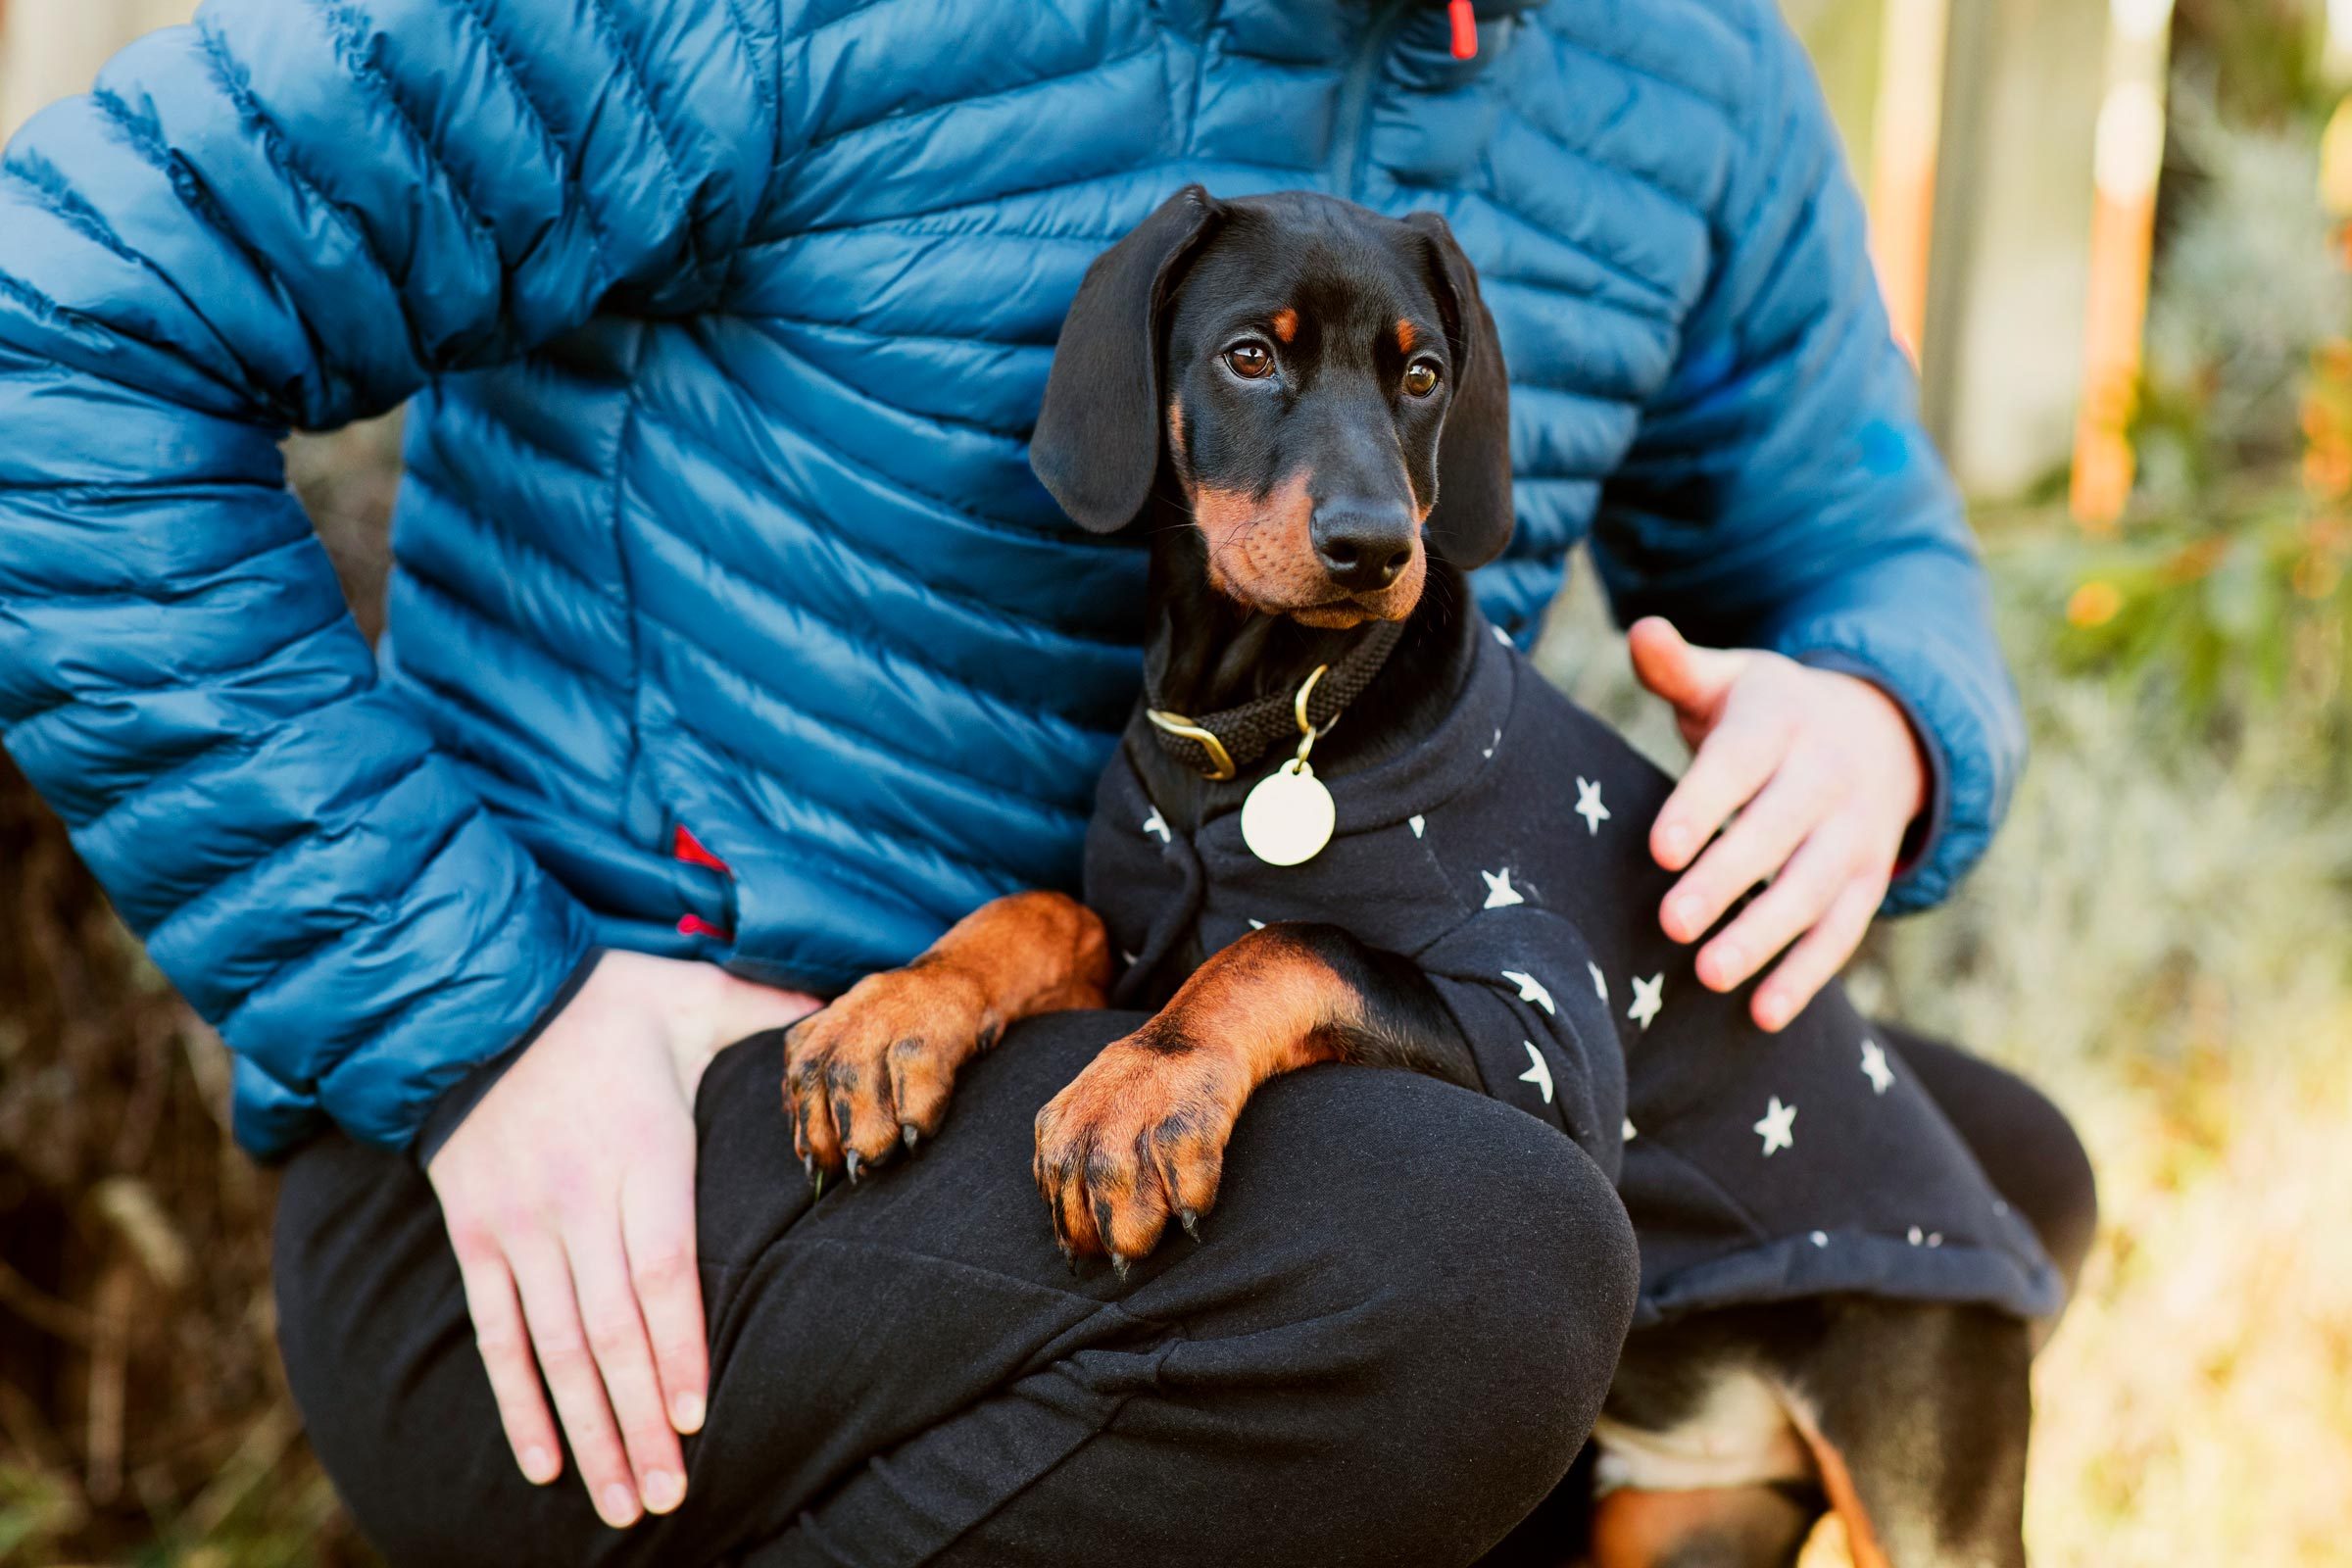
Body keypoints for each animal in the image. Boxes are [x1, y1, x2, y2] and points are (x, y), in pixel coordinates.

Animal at [785, 186, 2060, 1568]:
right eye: (1250, 355)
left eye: (1423, 374)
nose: (1372, 546)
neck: (1267, 718)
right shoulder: (1140, 933)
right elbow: (1043, 909)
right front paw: (887, 1021)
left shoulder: (1543, 1043)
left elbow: (1294, 943)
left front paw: (1136, 1101)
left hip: (1922, 1456)